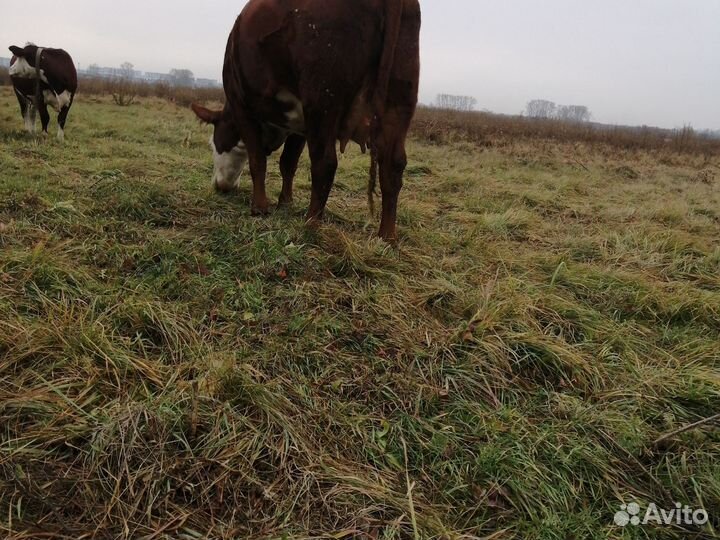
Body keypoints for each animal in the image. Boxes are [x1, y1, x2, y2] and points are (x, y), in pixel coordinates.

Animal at [191, 0, 421, 242]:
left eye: (212, 144)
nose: (221, 186)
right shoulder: (299, 126)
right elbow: (288, 163)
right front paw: (285, 203)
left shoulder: (242, 106)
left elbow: (257, 161)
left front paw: (260, 207)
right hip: (399, 100)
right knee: (393, 165)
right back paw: (387, 237)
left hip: (323, 100)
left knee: (325, 163)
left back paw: (311, 224)